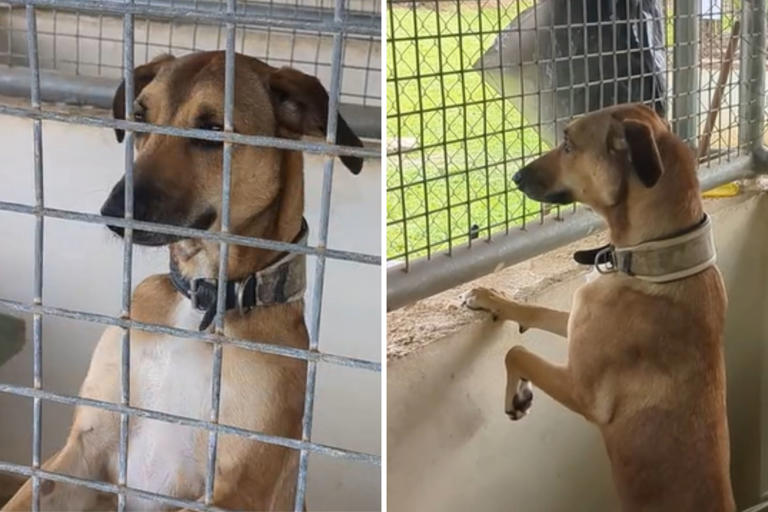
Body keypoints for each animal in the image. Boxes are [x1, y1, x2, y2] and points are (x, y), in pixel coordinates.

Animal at [3, 51, 364, 512]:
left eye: (211, 130)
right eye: (140, 116)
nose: (114, 212)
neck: (202, 298)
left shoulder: (237, 488)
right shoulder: (86, 450)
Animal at [462, 104, 736, 512]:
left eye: (568, 144)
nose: (516, 176)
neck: (652, 265)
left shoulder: (581, 391)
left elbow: (517, 353)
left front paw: (518, 395)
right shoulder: (577, 321)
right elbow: (535, 313)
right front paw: (489, 298)